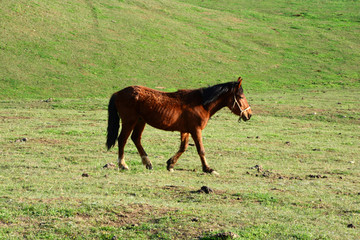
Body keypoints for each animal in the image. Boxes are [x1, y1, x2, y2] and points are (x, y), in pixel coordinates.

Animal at [107, 77, 252, 174]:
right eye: (240, 96)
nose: (249, 114)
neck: (201, 103)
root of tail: (118, 93)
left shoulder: (185, 130)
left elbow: (183, 147)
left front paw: (170, 164)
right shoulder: (196, 130)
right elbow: (201, 150)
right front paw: (208, 169)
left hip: (140, 121)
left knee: (136, 139)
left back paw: (148, 163)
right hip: (130, 121)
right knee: (122, 140)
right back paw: (123, 164)